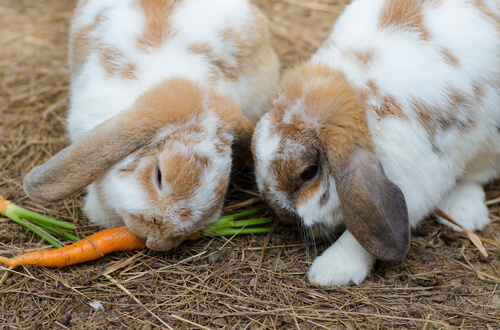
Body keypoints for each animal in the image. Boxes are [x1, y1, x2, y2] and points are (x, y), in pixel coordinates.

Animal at [252, 0, 500, 284]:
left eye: (308, 172)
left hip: (489, 142)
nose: (283, 215)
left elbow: (360, 236)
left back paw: (464, 213)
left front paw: (330, 271)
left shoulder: (414, 180)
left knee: (476, 176)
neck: (364, 102)